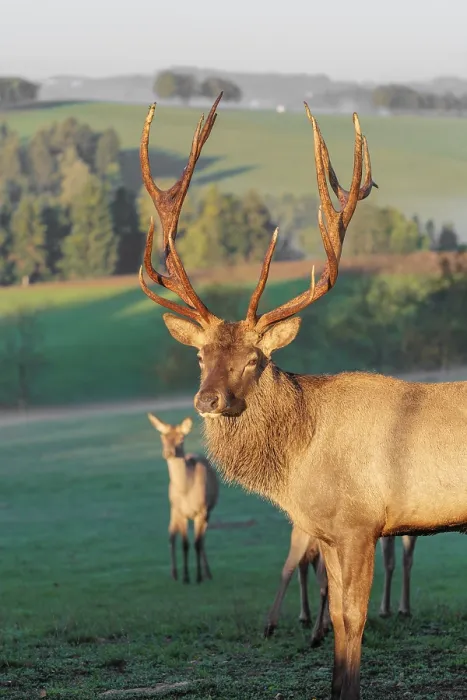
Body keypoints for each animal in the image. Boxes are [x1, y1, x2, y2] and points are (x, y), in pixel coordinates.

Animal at [147, 413, 219, 584]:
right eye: (163, 436)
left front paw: (198, 577)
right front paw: (186, 577)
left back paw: (207, 573)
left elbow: (197, 543)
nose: (168, 453)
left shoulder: (202, 510)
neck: (187, 491)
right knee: (171, 536)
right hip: (173, 509)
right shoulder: (181, 512)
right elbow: (185, 544)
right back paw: (174, 574)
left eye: (181, 438)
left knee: (202, 540)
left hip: (207, 513)